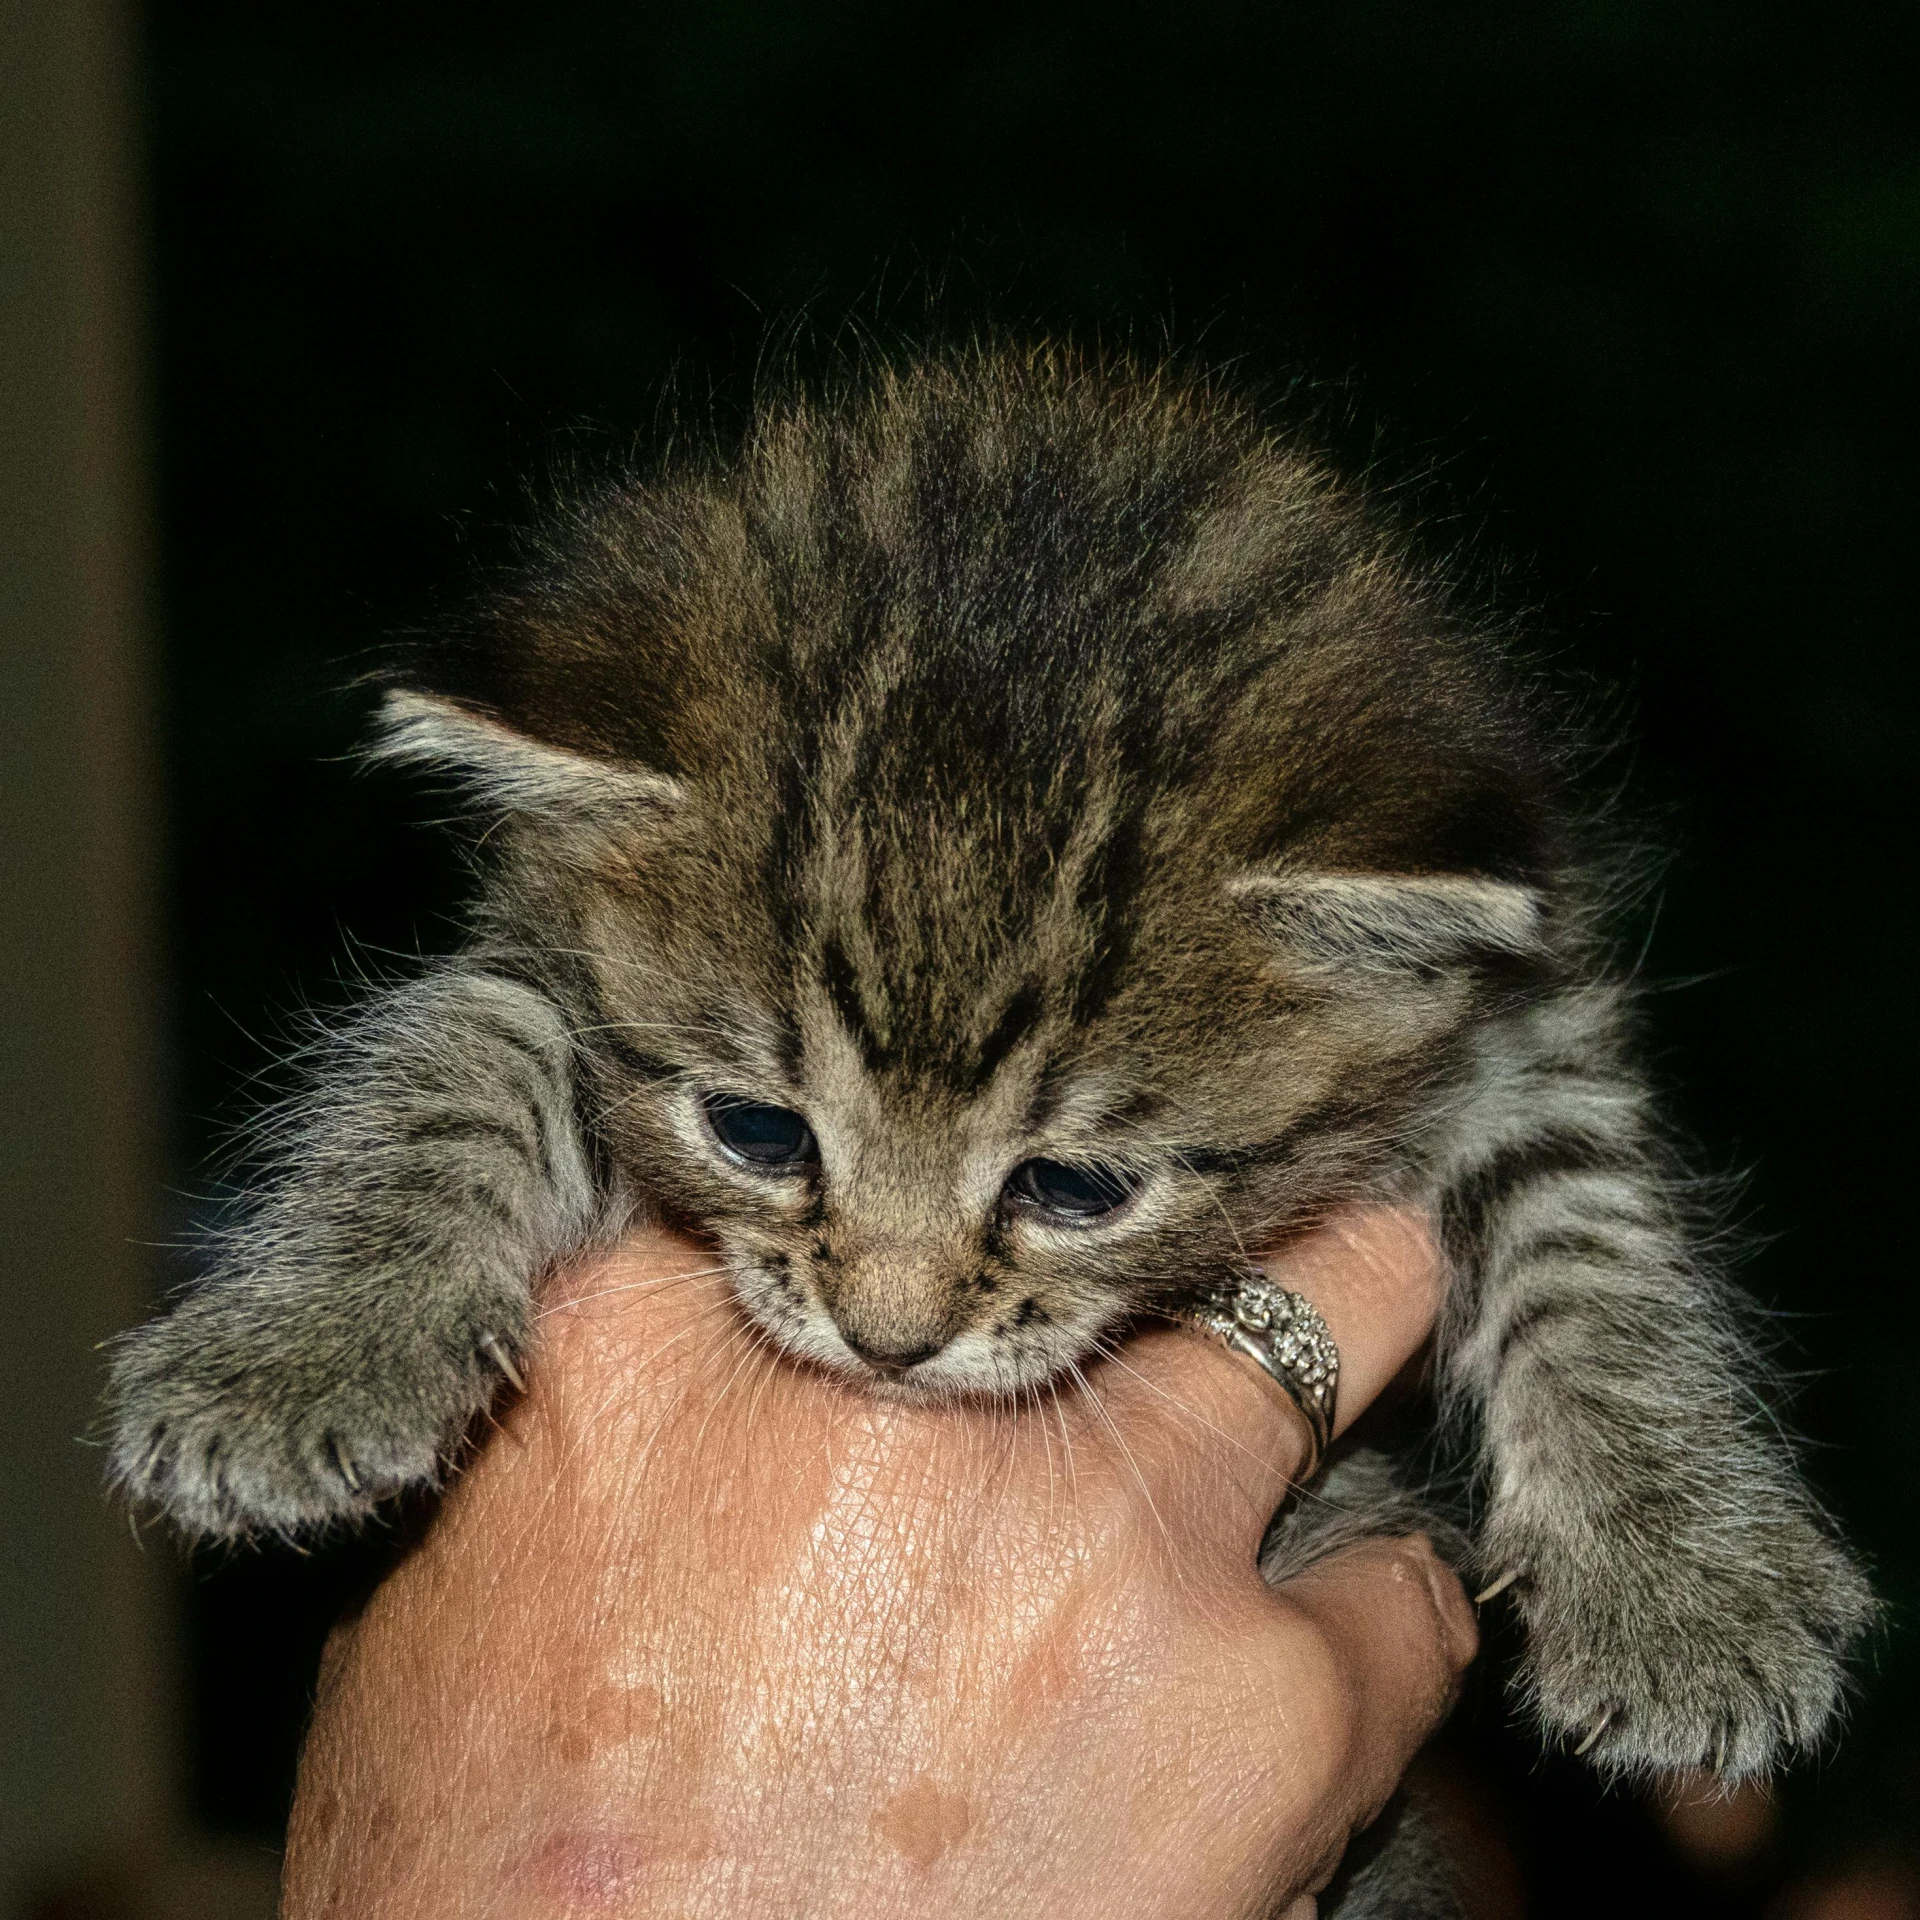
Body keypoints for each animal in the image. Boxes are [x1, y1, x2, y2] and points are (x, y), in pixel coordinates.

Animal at [101, 353, 1858, 1820]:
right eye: (757, 1129)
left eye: (1073, 1187)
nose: (889, 1339)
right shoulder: (533, 955)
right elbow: (452, 1057)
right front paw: (306, 1352)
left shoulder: (1525, 1021)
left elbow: (1586, 1233)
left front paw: (1690, 1586)